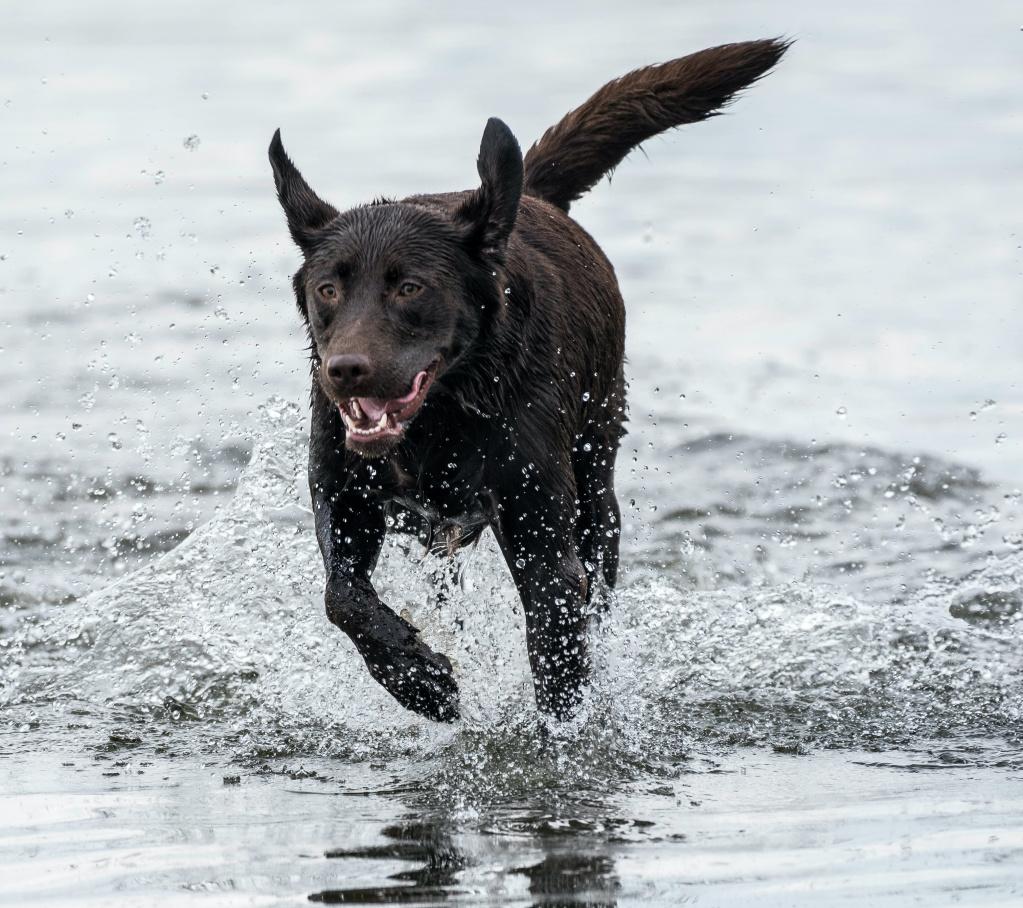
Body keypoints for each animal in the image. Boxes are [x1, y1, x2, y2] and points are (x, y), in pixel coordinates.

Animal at [268, 39, 785, 723]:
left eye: (410, 288)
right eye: (328, 289)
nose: (345, 370)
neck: (444, 415)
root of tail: (528, 196)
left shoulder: (542, 539)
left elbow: (559, 656)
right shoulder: (344, 493)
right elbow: (342, 596)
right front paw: (419, 680)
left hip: (596, 487)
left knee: (597, 581)